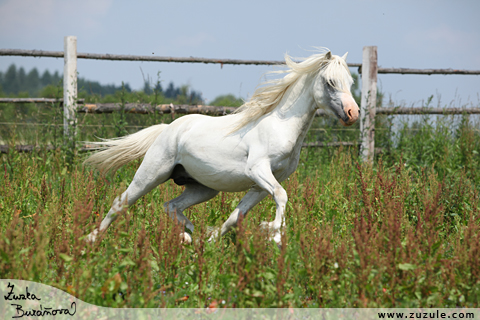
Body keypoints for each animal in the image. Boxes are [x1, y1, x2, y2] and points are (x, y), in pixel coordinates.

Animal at [84, 49, 358, 245]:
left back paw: (188, 234)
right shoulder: (258, 171)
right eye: (331, 82)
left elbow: (236, 217)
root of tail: (167, 129)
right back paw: (90, 240)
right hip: (151, 174)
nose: (352, 113)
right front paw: (273, 232)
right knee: (120, 203)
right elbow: (281, 196)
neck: (279, 125)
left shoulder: (262, 185)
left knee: (170, 205)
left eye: (351, 82)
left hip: (203, 188)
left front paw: (212, 239)